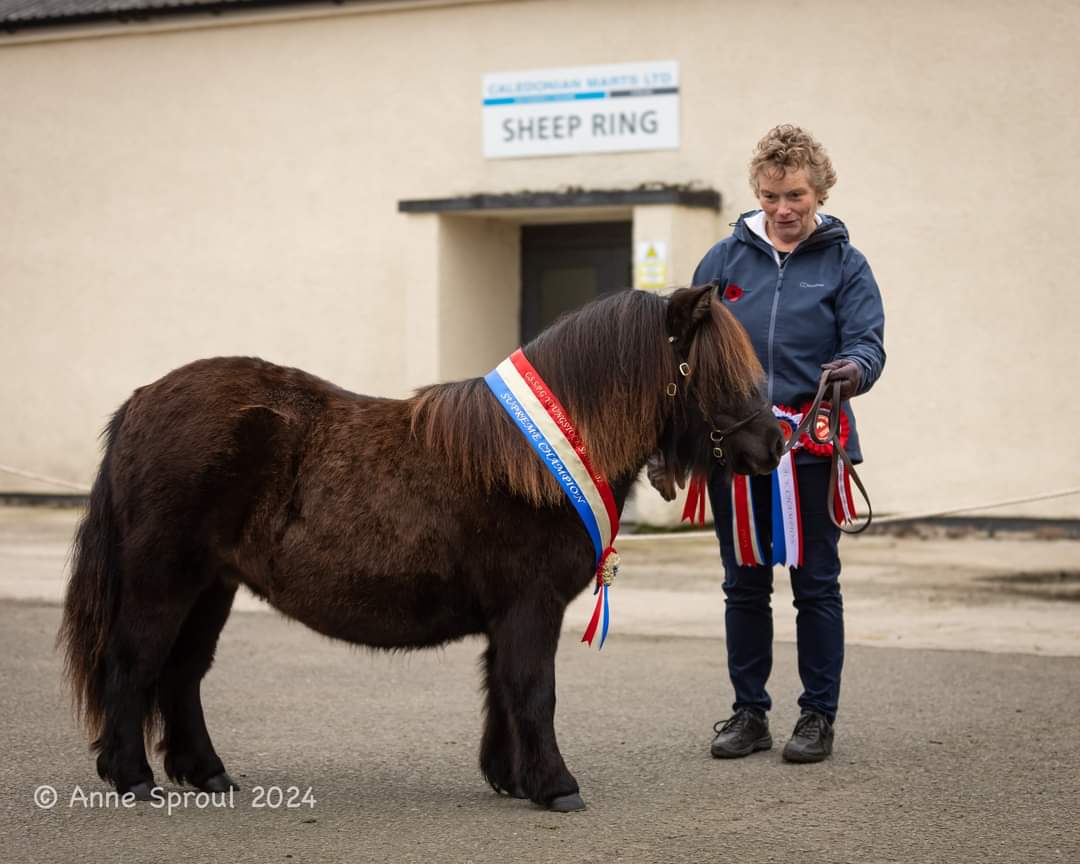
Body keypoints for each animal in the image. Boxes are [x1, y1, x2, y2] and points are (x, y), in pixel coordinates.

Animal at [59, 282, 781, 812]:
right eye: (715, 373)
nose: (776, 444)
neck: (532, 459)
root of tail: (142, 401)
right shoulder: (531, 607)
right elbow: (533, 689)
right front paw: (555, 786)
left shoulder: (510, 614)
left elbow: (502, 689)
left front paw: (511, 777)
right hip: (164, 580)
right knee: (134, 663)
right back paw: (131, 777)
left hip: (213, 585)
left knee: (183, 672)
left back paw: (205, 772)